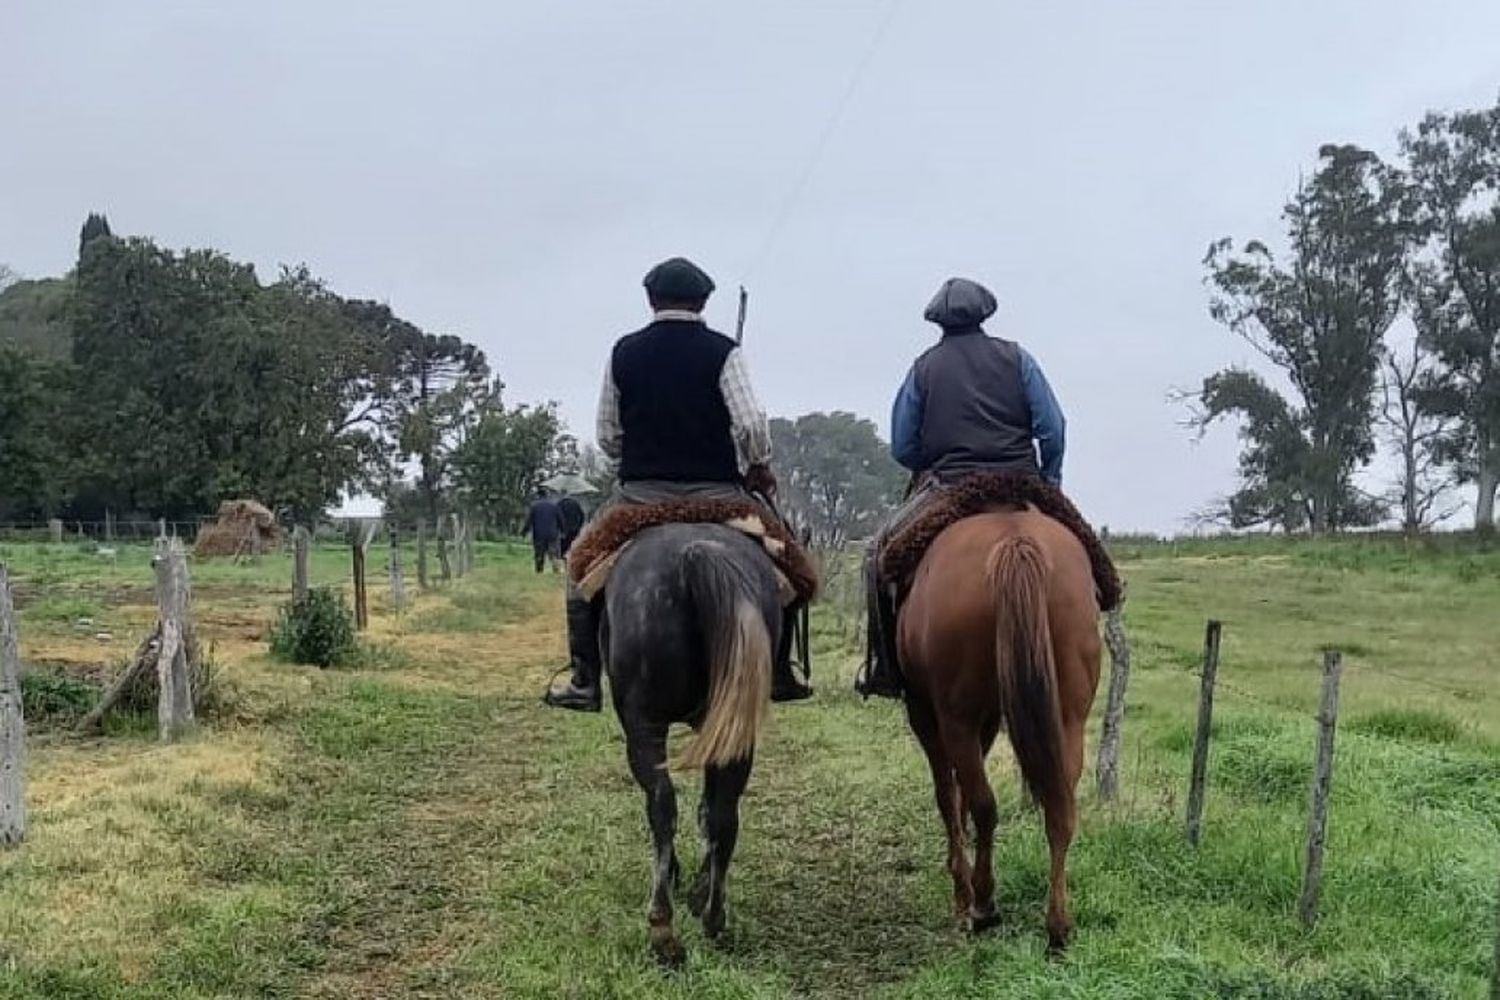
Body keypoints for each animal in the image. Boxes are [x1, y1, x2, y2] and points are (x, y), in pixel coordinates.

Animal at [900, 509, 1104, 947]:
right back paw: (1058, 926)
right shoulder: (990, 717)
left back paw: (981, 903)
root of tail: (1016, 540)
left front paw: (960, 888)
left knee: (984, 804)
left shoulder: (926, 714)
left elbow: (948, 795)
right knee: (1060, 809)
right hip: (1069, 718)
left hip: (955, 718)